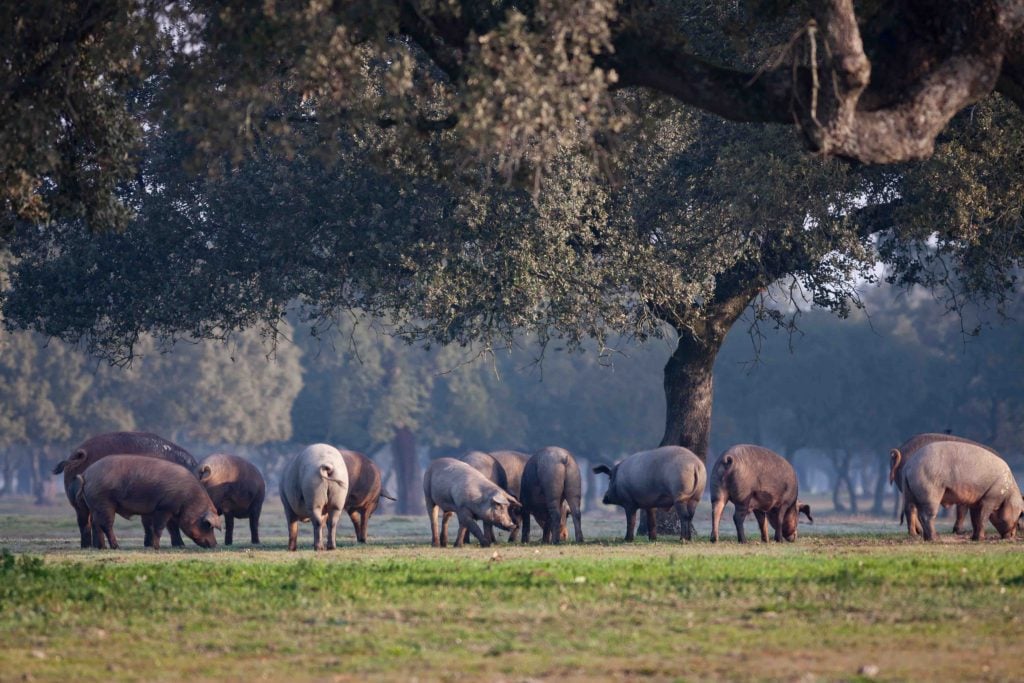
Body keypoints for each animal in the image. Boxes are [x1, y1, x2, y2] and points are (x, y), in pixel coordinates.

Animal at [50, 430, 197, 548]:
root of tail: (78, 454)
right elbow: (169, 523)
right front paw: (179, 545)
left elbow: (149, 523)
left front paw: (148, 544)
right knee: (91, 522)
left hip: (79, 504)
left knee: (85, 522)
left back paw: (89, 546)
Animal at [76, 454, 221, 548]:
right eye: (207, 525)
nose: (214, 544)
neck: (189, 499)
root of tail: (85, 474)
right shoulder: (164, 507)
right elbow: (158, 527)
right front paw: (156, 547)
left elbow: (155, 527)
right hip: (104, 502)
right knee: (106, 525)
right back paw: (116, 546)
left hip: (94, 505)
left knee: (95, 524)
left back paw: (102, 547)